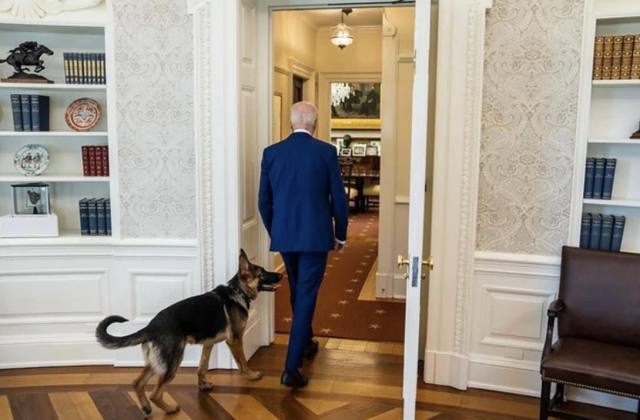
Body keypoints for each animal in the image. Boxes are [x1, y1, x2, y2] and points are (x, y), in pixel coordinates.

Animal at [95, 248, 282, 416]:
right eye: (263, 274)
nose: (280, 276)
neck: (238, 291)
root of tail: (151, 326)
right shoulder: (235, 340)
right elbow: (242, 360)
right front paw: (251, 375)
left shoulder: (208, 344)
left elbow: (203, 366)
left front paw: (203, 384)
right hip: (173, 360)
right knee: (155, 393)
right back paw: (170, 408)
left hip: (157, 362)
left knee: (137, 382)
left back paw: (146, 408)